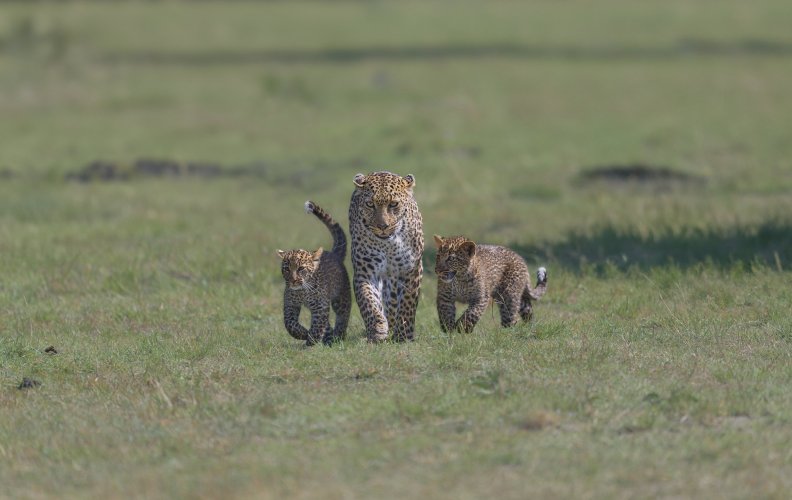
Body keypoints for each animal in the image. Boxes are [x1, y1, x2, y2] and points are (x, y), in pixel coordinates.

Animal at [348, 171, 420, 340]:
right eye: (370, 204)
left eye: (393, 204)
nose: (382, 226)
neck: (387, 245)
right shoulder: (365, 273)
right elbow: (368, 301)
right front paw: (377, 329)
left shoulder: (411, 270)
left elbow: (408, 302)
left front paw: (403, 335)